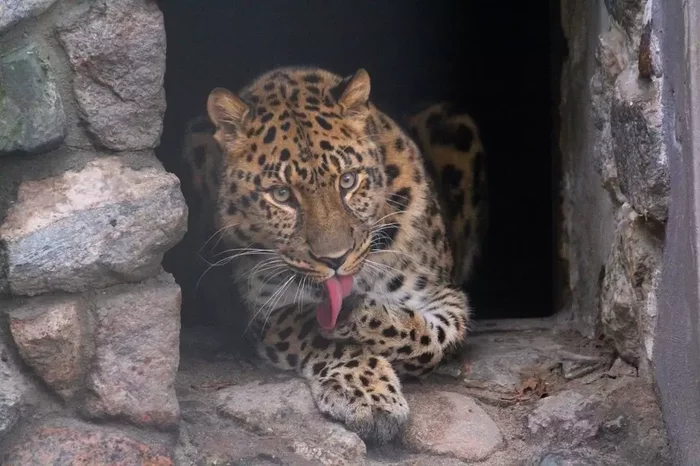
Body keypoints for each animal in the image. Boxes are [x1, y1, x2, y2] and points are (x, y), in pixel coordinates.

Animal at [178, 66, 490, 444]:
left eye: (348, 181)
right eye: (281, 195)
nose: (335, 260)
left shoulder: (441, 294)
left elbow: (432, 339)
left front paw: (357, 316)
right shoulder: (265, 312)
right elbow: (316, 333)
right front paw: (367, 393)